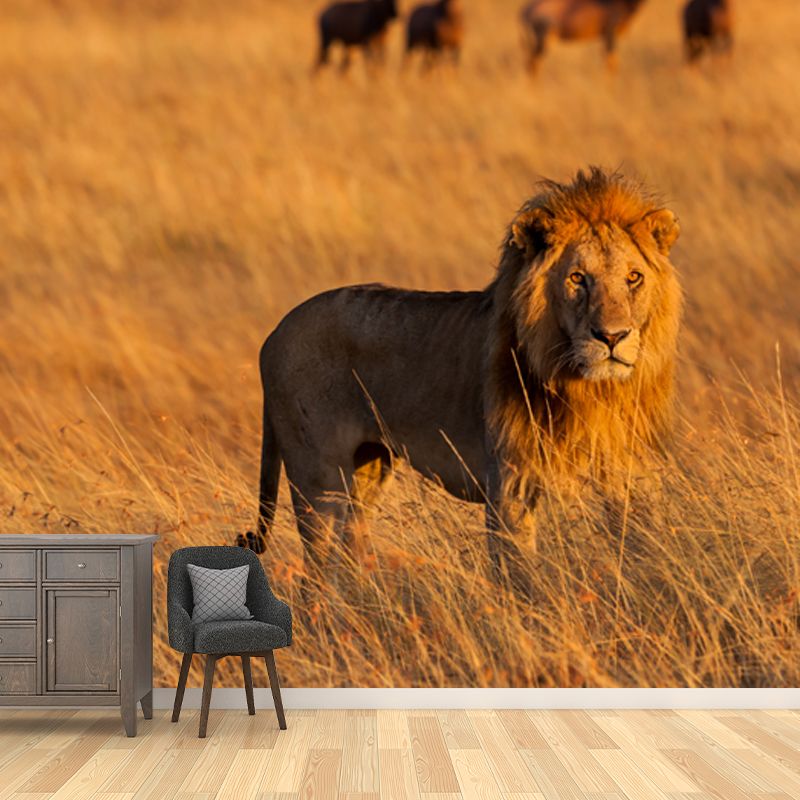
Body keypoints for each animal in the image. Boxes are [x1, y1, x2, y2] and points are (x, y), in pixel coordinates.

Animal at [238, 167, 682, 583]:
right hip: (319, 480)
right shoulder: (510, 485)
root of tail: (274, 333)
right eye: (577, 278)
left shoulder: (629, 476)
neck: (591, 390)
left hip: (366, 472)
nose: (612, 336)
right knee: (318, 573)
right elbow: (521, 576)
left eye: (634, 278)